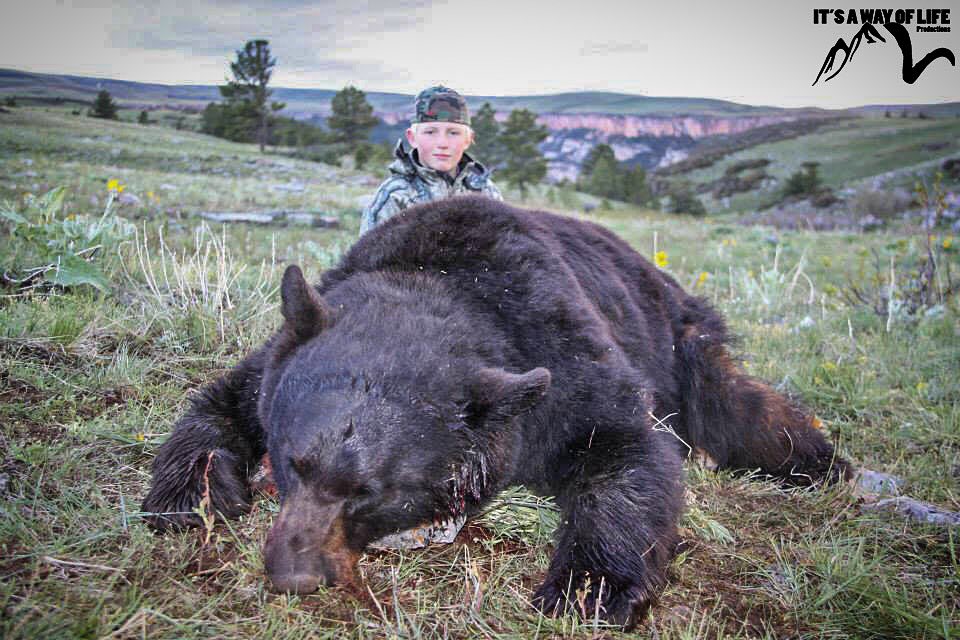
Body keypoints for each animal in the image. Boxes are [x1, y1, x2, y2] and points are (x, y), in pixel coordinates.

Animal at [142, 195, 850, 627]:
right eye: (293, 463)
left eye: (372, 492)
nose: (294, 575)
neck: (444, 279)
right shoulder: (279, 357)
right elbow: (220, 402)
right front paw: (188, 494)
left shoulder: (566, 359)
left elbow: (630, 452)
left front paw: (586, 589)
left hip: (684, 340)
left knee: (735, 410)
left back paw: (824, 463)